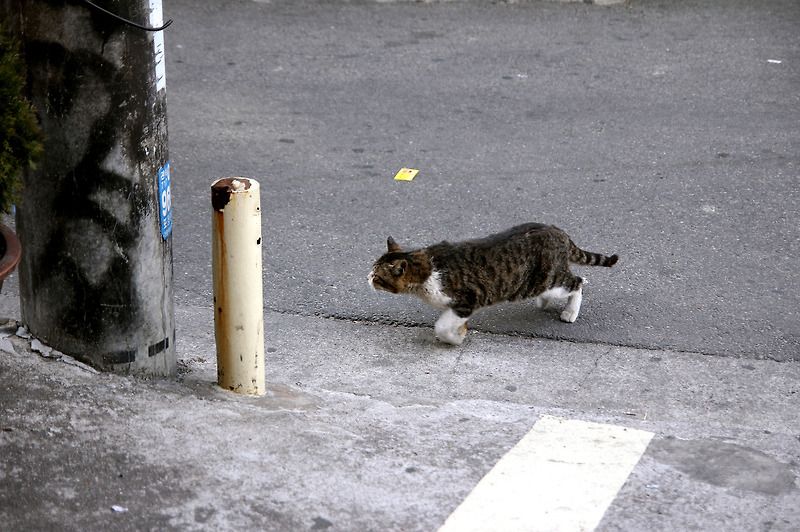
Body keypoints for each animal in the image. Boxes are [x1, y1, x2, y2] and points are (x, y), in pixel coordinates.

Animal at [368, 223, 620, 344]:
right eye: (372, 269)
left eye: (378, 276)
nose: (368, 277)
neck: (426, 269)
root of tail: (559, 232)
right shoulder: (456, 307)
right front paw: (461, 330)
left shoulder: (467, 301)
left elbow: (442, 327)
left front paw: (456, 339)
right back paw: (543, 302)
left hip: (550, 280)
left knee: (577, 282)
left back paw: (570, 312)